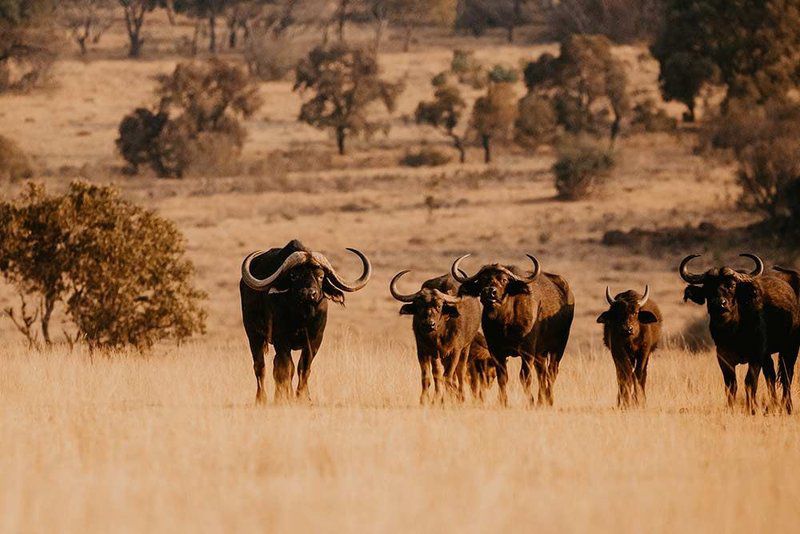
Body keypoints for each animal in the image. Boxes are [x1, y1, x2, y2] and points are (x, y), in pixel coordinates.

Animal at [241, 241, 372, 404]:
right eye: (294, 275)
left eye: (321, 276)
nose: (309, 293)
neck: (302, 316)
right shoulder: (281, 340)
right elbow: (287, 368)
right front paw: (287, 396)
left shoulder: (315, 340)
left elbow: (303, 367)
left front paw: (303, 397)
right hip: (253, 335)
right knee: (260, 367)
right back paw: (261, 399)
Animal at [390, 274, 488, 404]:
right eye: (419, 306)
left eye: (439, 306)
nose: (429, 324)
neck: (439, 334)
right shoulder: (425, 351)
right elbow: (431, 376)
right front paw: (429, 400)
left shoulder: (455, 351)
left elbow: (448, 376)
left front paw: (454, 396)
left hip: (465, 348)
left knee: (460, 372)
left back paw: (460, 395)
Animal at [450, 254, 576, 406]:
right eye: (482, 279)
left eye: (504, 280)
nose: (490, 292)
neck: (504, 321)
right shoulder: (496, 351)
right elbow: (502, 377)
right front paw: (503, 402)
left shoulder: (527, 352)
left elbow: (525, 377)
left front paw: (530, 402)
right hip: (541, 353)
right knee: (542, 373)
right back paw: (542, 400)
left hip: (558, 347)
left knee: (552, 371)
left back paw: (549, 399)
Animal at [680, 254, 800, 414]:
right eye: (708, 288)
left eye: (731, 285)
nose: (720, 304)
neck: (733, 330)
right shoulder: (723, 356)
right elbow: (731, 385)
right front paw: (730, 408)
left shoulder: (756, 356)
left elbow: (750, 382)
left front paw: (751, 409)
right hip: (768, 354)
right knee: (771, 375)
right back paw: (773, 405)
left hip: (790, 347)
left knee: (787, 375)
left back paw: (787, 407)